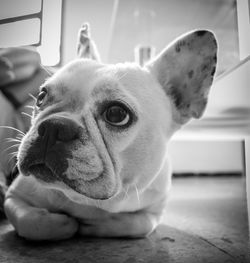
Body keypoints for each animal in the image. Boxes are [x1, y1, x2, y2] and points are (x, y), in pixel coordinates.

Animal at [3, 25, 217, 241]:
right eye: (41, 97)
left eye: (116, 114)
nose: (54, 127)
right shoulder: (14, 197)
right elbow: (31, 222)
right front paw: (59, 224)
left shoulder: (154, 212)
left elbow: (138, 224)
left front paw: (98, 224)